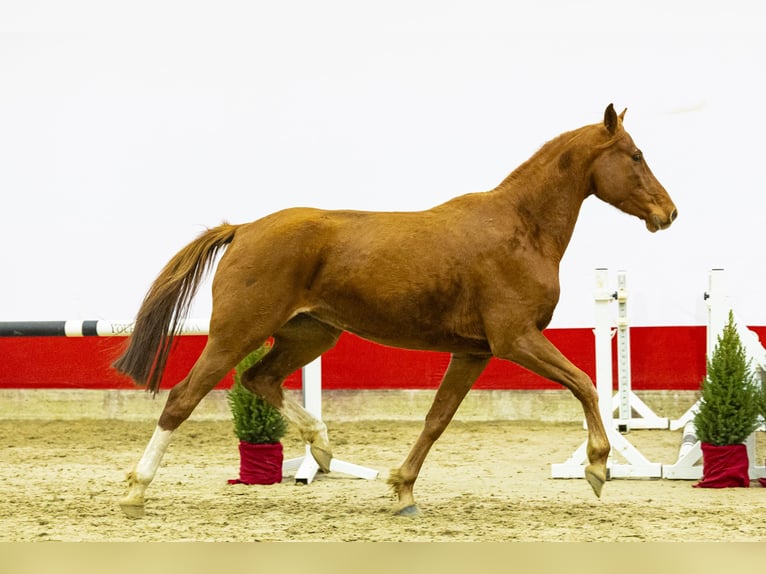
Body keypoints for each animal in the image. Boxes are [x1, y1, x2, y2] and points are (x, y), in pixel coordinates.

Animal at [114, 104, 677, 518]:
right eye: (635, 154)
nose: (668, 213)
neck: (521, 229)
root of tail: (244, 228)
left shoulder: (474, 353)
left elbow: (437, 419)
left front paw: (403, 490)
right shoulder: (515, 339)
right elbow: (584, 382)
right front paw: (598, 468)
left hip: (310, 334)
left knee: (260, 379)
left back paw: (322, 448)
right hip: (237, 333)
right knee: (183, 398)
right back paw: (137, 490)